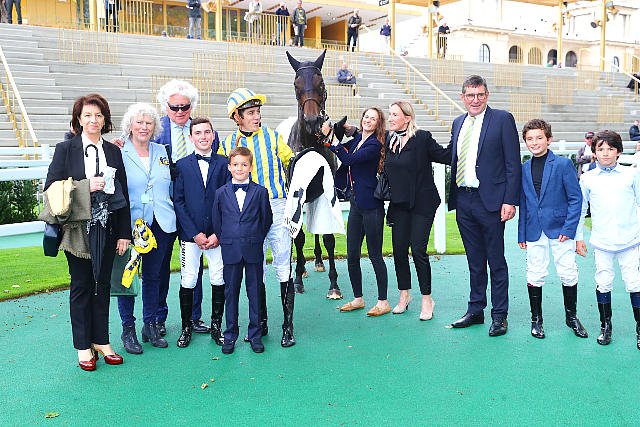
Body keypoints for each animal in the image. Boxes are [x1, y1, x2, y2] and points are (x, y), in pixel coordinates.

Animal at [281, 49, 345, 300]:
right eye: (296, 84)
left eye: (321, 83)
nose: (311, 120)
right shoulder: (297, 193)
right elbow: (299, 237)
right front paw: (298, 278)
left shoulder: (326, 191)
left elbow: (327, 236)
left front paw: (334, 284)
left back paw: (318, 261)